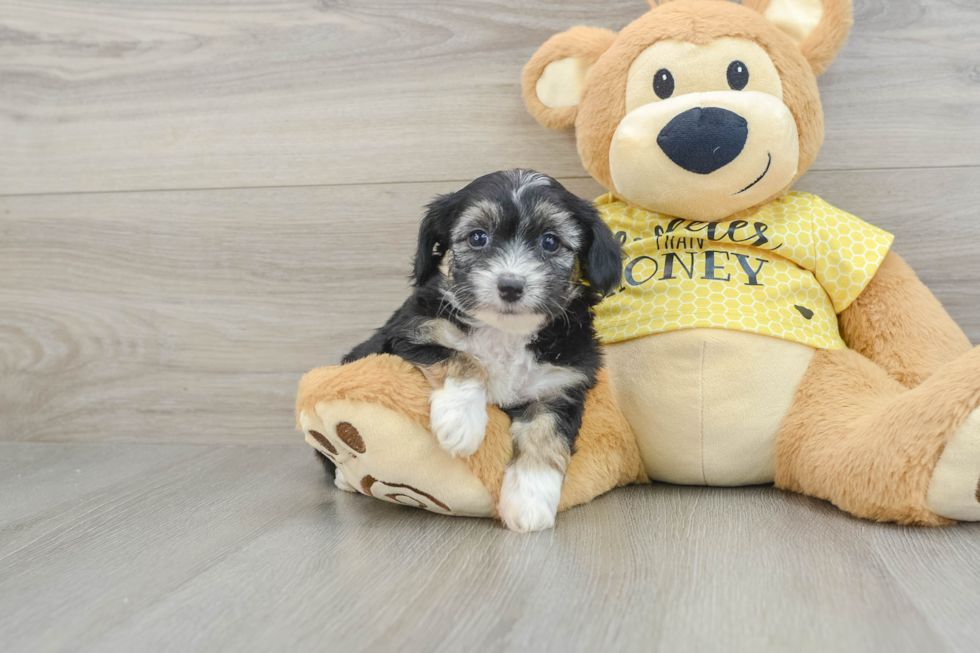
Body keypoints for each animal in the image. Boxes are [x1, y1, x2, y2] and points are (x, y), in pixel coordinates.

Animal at [342, 168, 620, 528]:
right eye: (478, 237)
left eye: (550, 241)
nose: (511, 286)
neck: (506, 332)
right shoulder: (408, 334)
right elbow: (464, 359)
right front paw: (461, 422)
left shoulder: (560, 386)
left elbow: (545, 434)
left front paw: (530, 500)